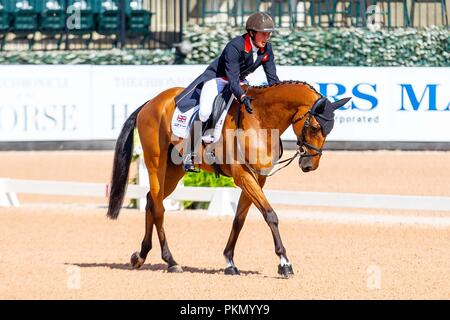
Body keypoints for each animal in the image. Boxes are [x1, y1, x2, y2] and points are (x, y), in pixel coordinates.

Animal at [107, 82, 350, 278]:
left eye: (328, 131)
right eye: (314, 127)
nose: (309, 165)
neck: (260, 118)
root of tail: (151, 102)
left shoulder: (257, 178)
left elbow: (239, 219)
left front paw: (229, 261)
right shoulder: (242, 175)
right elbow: (270, 215)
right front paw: (284, 263)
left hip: (174, 170)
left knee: (151, 200)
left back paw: (141, 255)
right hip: (155, 162)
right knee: (158, 207)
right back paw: (171, 261)